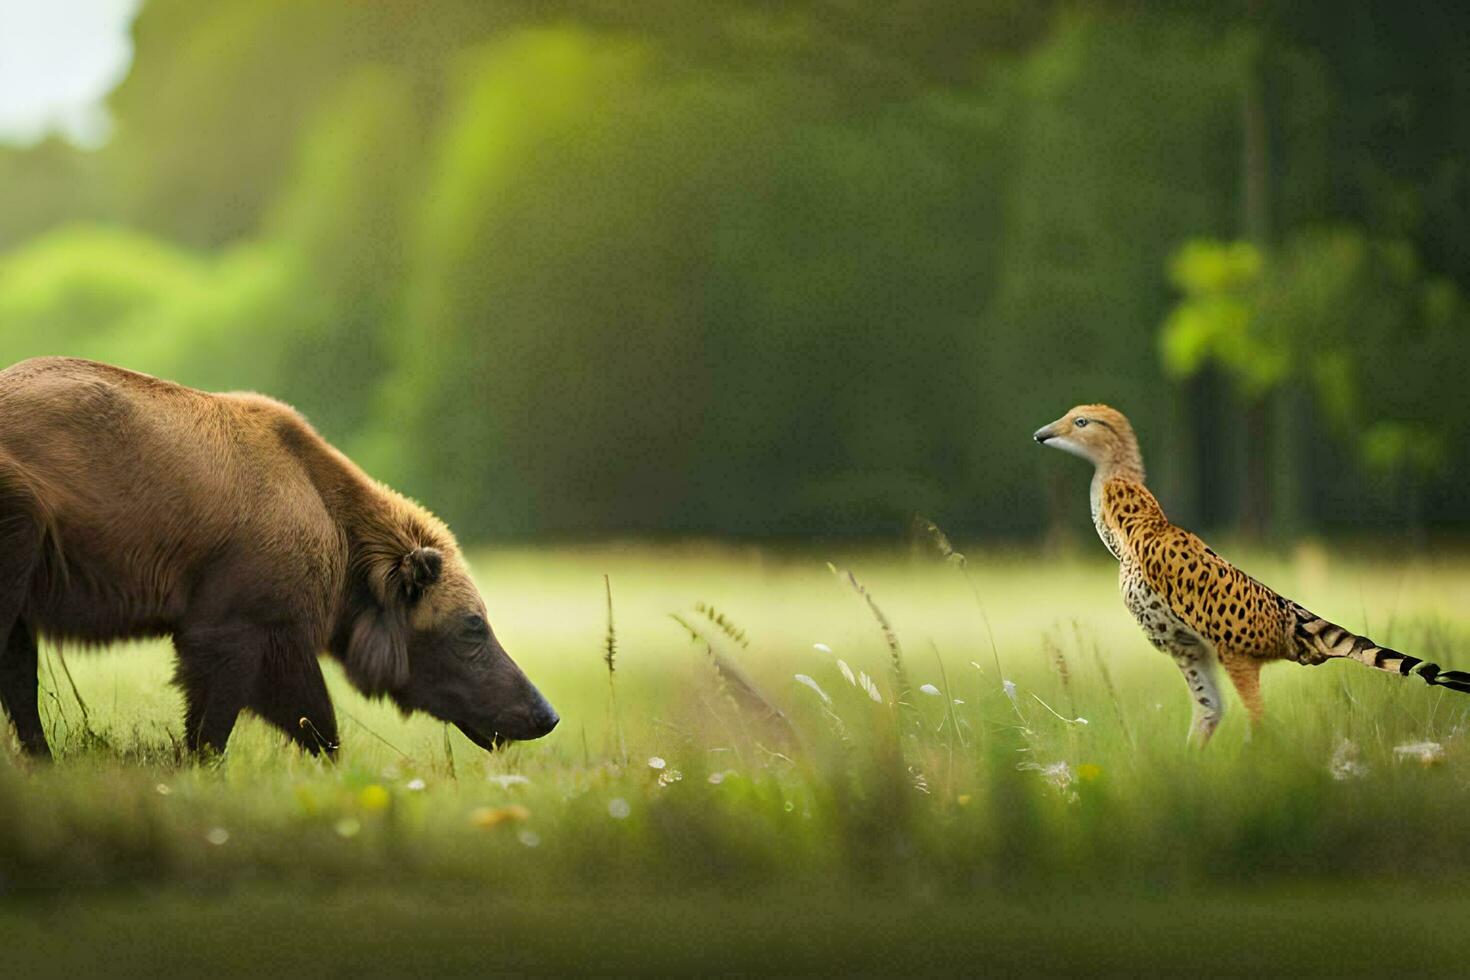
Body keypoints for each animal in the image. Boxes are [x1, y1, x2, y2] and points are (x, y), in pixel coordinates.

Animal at [0, 358, 555, 758]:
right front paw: (202, 758)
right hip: (25, 514)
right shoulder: (244, 602)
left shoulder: (270, 614)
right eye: (473, 626)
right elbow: (241, 696)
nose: (544, 713)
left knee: (18, 660)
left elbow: (299, 706)